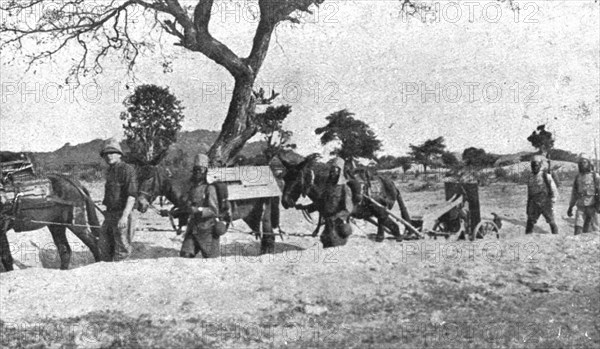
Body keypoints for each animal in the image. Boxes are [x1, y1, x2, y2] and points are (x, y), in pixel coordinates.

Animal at [137, 164, 278, 254]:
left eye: (149, 179)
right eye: (140, 178)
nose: (140, 204)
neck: (188, 188)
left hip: (265, 215)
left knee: (269, 236)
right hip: (251, 216)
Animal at [278, 154, 412, 243]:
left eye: (296, 178)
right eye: (284, 178)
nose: (285, 202)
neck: (327, 183)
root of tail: (392, 184)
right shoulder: (322, 207)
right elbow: (322, 217)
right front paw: (316, 232)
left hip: (380, 210)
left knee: (386, 223)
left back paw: (387, 237)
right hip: (379, 211)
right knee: (389, 224)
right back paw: (390, 237)